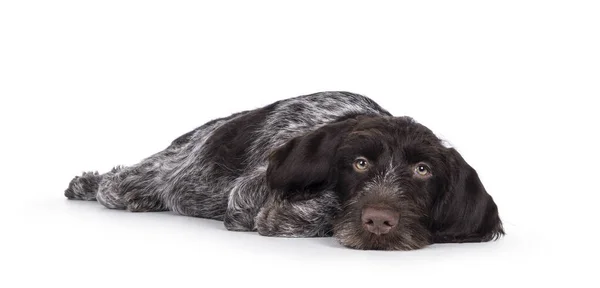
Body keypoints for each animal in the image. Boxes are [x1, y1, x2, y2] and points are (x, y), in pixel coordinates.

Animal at [63, 91, 504, 250]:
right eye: (359, 164)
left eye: (423, 170)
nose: (380, 220)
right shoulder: (246, 192)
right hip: (147, 175)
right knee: (117, 181)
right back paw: (91, 182)